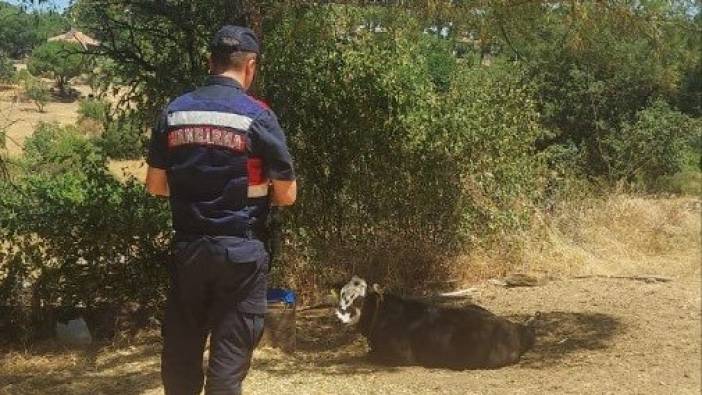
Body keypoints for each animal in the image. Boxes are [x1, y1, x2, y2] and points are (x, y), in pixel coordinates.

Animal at [338, 276, 536, 372]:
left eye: (359, 299)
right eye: (343, 294)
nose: (341, 312)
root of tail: (517, 329)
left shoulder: (400, 357)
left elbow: (369, 356)